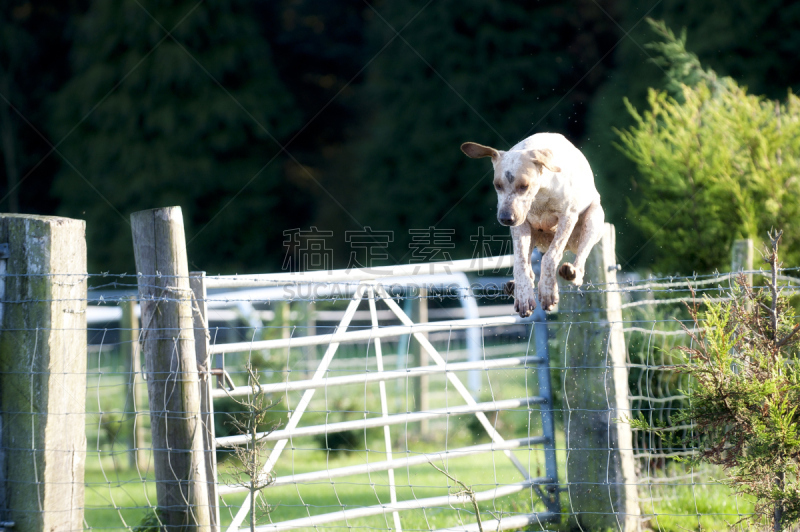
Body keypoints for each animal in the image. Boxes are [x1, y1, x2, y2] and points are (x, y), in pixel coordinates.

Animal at [460, 133, 604, 316]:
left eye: (524, 186)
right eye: (497, 185)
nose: (505, 218)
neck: (540, 194)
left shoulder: (567, 217)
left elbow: (550, 257)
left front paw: (548, 291)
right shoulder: (520, 225)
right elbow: (520, 263)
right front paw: (523, 296)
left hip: (592, 221)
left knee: (579, 257)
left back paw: (572, 272)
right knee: (528, 267)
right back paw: (515, 285)